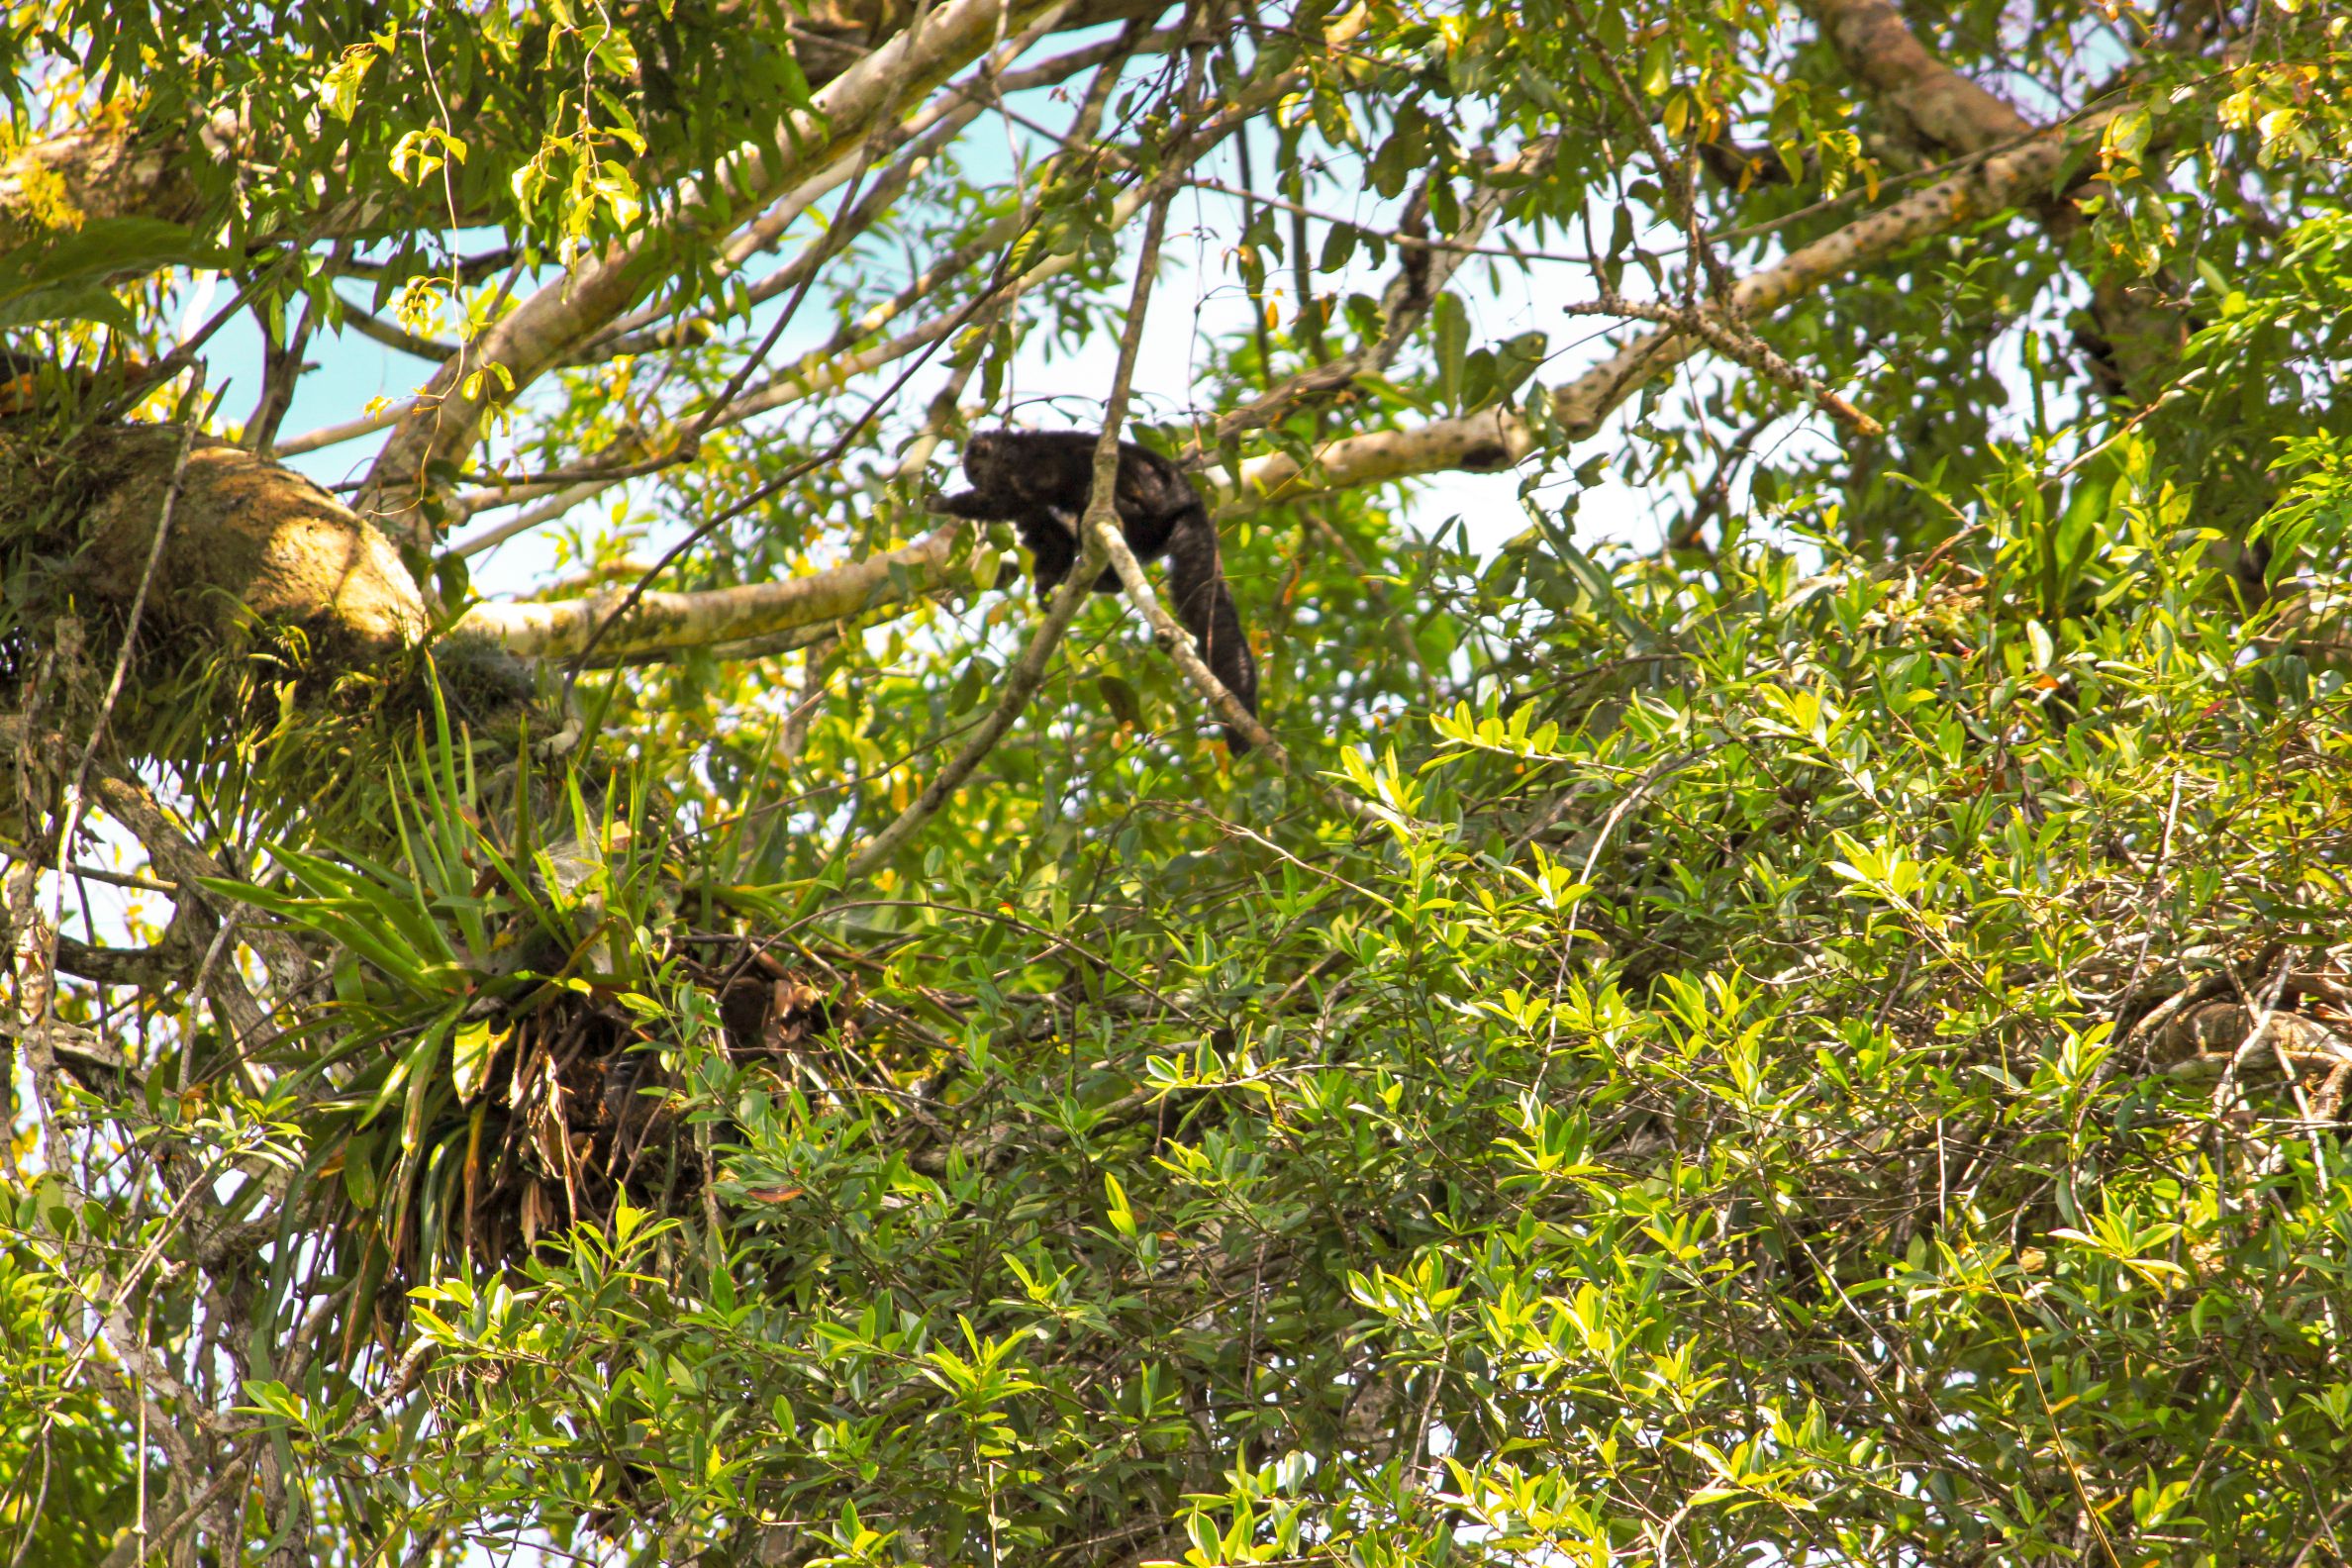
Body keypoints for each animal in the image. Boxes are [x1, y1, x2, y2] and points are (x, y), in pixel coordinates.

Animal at [935, 425, 1270, 751]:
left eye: (976, 470)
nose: (978, 481)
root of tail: (1191, 502)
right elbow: (1048, 534)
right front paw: (1045, 583)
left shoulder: (1018, 465)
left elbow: (1012, 499)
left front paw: (944, 504)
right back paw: (1105, 578)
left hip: (1151, 499)